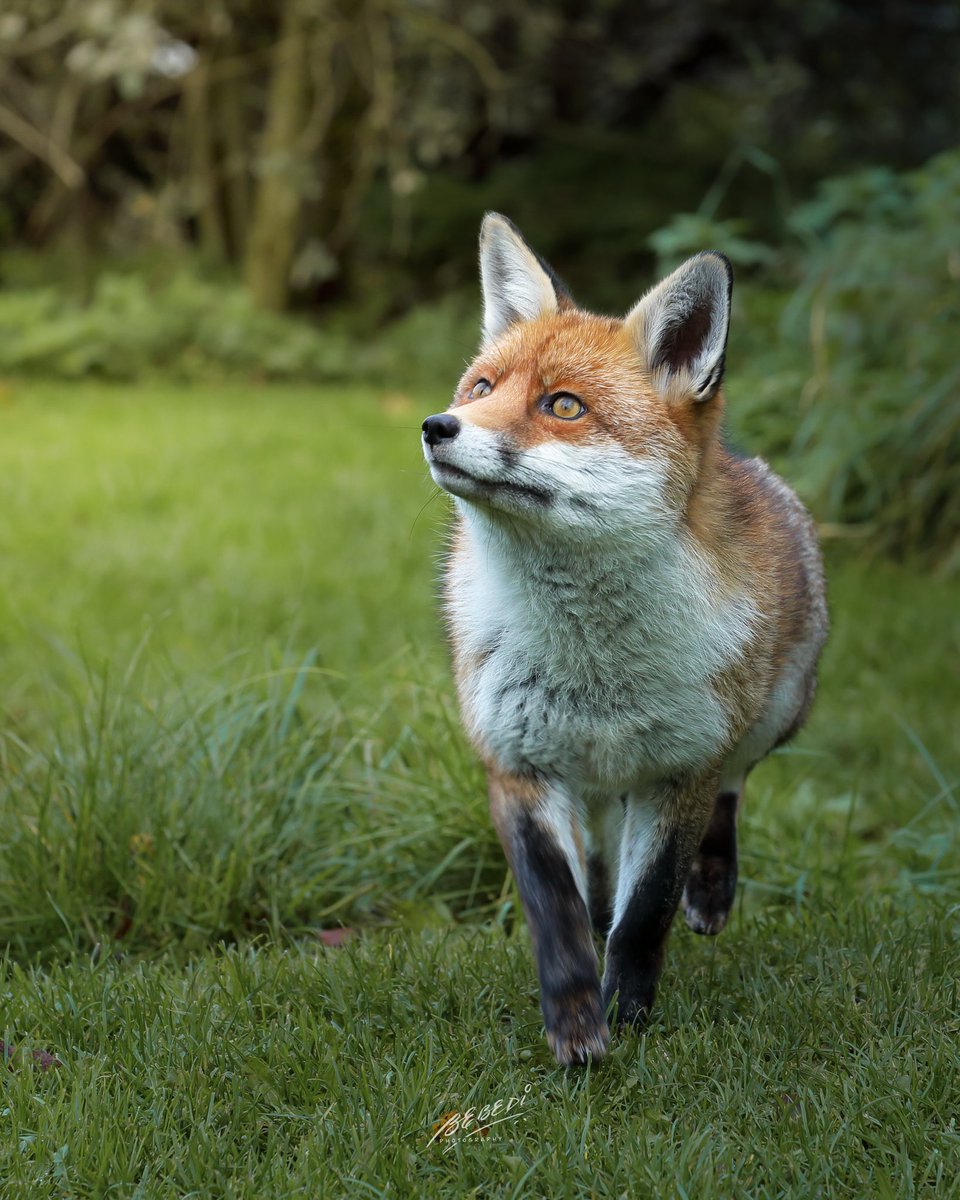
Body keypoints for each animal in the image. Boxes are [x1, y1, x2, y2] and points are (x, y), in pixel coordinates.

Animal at [420, 211, 825, 1065]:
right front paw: (576, 1024)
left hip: (772, 718)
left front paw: (629, 1013)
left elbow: (644, 914)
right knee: (602, 873)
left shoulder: (679, 770)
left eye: (563, 406)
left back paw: (713, 891)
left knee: (734, 790)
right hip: (598, 787)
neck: (593, 670)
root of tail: (751, 464)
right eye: (482, 389)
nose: (438, 427)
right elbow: (560, 914)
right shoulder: (518, 764)